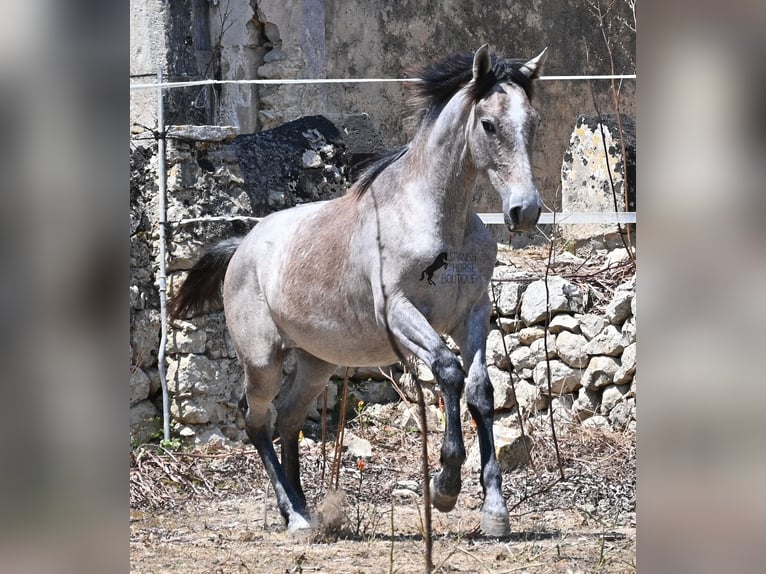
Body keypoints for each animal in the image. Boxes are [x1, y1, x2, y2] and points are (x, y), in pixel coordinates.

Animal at [169, 44, 547, 536]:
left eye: (532, 121)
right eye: (488, 124)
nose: (525, 211)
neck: (438, 221)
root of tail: (242, 246)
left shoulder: (474, 314)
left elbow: (481, 389)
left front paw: (495, 511)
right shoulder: (400, 314)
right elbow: (448, 371)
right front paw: (445, 486)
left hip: (317, 362)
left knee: (288, 417)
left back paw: (303, 507)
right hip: (262, 360)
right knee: (257, 421)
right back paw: (295, 517)